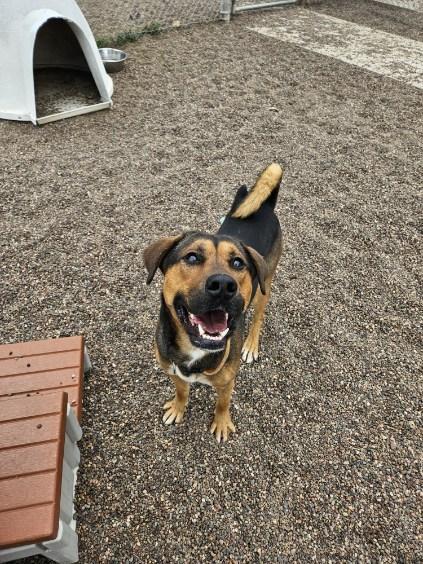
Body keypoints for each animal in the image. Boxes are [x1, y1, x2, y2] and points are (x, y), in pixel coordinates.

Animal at [143, 163, 284, 440]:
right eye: (192, 257)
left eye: (238, 263)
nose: (223, 286)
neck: (195, 349)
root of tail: (264, 207)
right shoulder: (173, 372)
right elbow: (181, 391)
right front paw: (178, 408)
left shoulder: (227, 380)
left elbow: (223, 403)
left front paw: (220, 423)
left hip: (264, 288)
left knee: (258, 318)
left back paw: (251, 345)